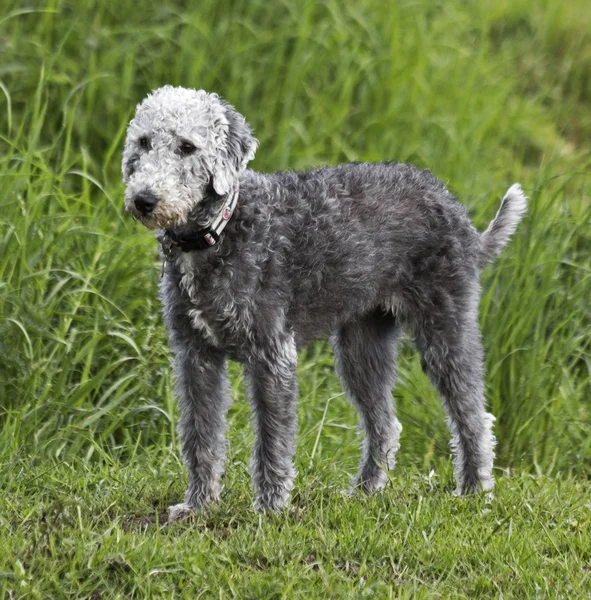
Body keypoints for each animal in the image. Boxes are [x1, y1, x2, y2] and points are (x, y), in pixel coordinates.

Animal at [120, 85, 528, 520]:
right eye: (143, 142)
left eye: (187, 147)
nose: (144, 199)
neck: (220, 231)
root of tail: (458, 212)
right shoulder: (195, 355)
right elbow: (201, 436)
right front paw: (197, 505)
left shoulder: (272, 354)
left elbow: (272, 440)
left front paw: (269, 509)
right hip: (361, 347)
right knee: (386, 425)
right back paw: (365, 491)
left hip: (445, 329)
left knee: (473, 416)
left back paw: (473, 492)